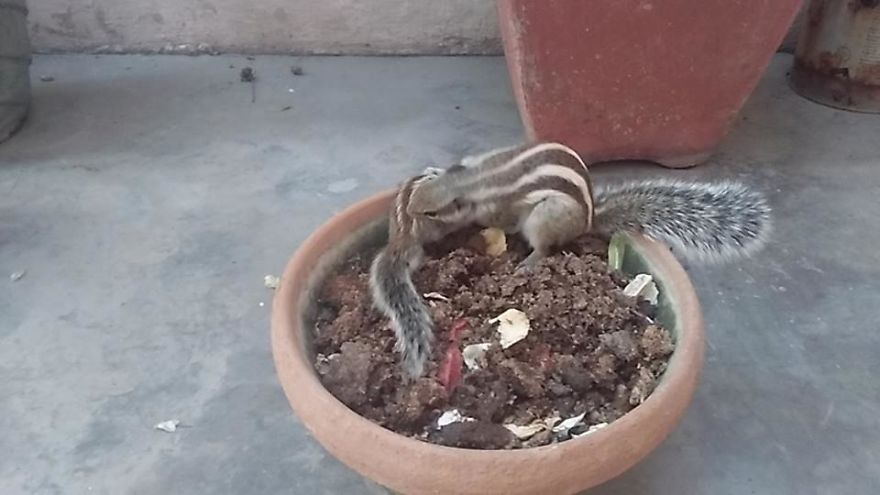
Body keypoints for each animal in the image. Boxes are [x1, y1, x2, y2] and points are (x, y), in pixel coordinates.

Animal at [370, 142, 772, 377]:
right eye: (420, 193)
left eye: (433, 211)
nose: (412, 214)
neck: (474, 180)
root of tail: (589, 219)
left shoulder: (499, 206)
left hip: (545, 217)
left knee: (545, 245)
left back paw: (529, 261)